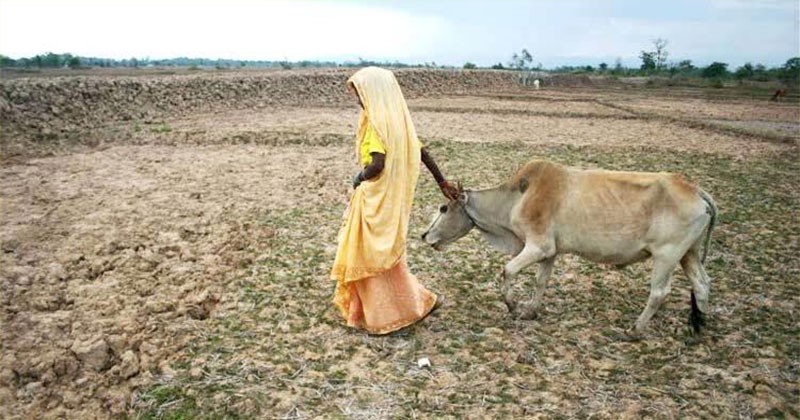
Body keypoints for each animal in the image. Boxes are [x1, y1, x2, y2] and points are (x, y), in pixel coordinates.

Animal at [422, 159, 716, 334]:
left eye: (444, 208)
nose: (425, 235)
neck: (518, 197)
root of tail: (694, 189)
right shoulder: (549, 252)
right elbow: (540, 281)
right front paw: (531, 311)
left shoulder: (537, 246)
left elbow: (508, 271)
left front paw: (513, 307)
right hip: (688, 253)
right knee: (702, 283)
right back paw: (698, 325)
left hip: (667, 255)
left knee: (659, 292)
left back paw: (636, 329)